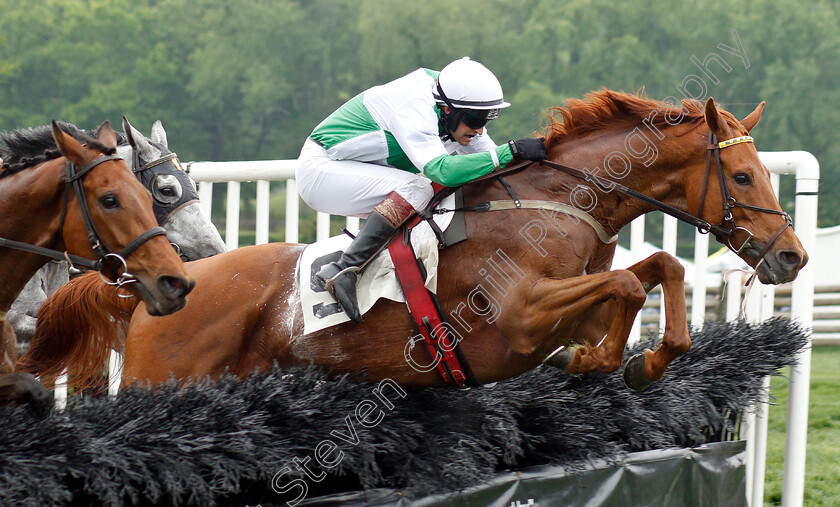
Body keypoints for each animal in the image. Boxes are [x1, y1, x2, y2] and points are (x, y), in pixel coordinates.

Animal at [21, 92, 808, 392]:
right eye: (743, 174)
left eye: (766, 172)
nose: (793, 255)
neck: (555, 201)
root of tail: (147, 291)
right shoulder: (519, 315)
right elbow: (623, 283)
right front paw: (602, 359)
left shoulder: (569, 302)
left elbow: (660, 266)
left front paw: (642, 358)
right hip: (161, 378)